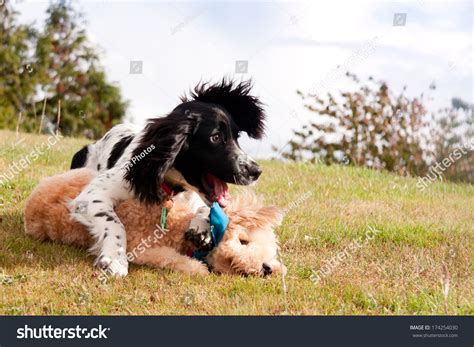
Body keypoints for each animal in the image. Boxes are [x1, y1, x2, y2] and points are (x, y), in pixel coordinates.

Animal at [23, 169, 286, 278]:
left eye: (271, 254)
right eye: (244, 241)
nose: (267, 268)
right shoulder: (141, 248)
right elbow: (171, 259)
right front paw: (197, 268)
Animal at [69, 79, 266, 278]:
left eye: (237, 137)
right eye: (216, 137)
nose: (256, 171)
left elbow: (207, 209)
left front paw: (201, 229)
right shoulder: (92, 195)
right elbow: (115, 223)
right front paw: (115, 259)